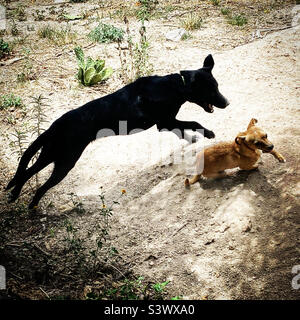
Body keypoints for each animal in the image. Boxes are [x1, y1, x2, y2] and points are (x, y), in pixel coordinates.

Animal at [5, 53, 229, 208]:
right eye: (212, 89)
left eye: (218, 86)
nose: (227, 103)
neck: (176, 86)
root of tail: (55, 125)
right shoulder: (165, 121)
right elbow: (194, 121)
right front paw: (208, 133)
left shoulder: (166, 123)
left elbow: (184, 129)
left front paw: (192, 139)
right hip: (62, 160)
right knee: (31, 177)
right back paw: (25, 201)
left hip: (54, 156)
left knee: (27, 173)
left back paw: (19, 197)